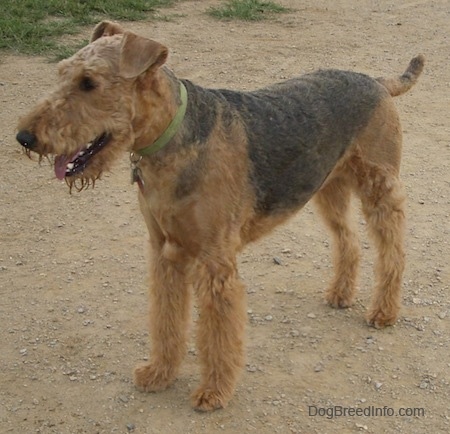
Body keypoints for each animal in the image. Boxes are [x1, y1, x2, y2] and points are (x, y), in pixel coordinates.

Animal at [15, 21, 424, 410]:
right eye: (62, 73)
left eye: (89, 83)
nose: (24, 137)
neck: (170, 135)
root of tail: (376, 82)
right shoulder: (164, 251)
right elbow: (166, 320)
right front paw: (159, 372)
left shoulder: (215, 263)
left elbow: (217, 335)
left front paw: (212, 393)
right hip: (329, 188)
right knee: (348, 241)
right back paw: (340, 294)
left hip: (379, 187)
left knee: (393, 251)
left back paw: (383, 312)